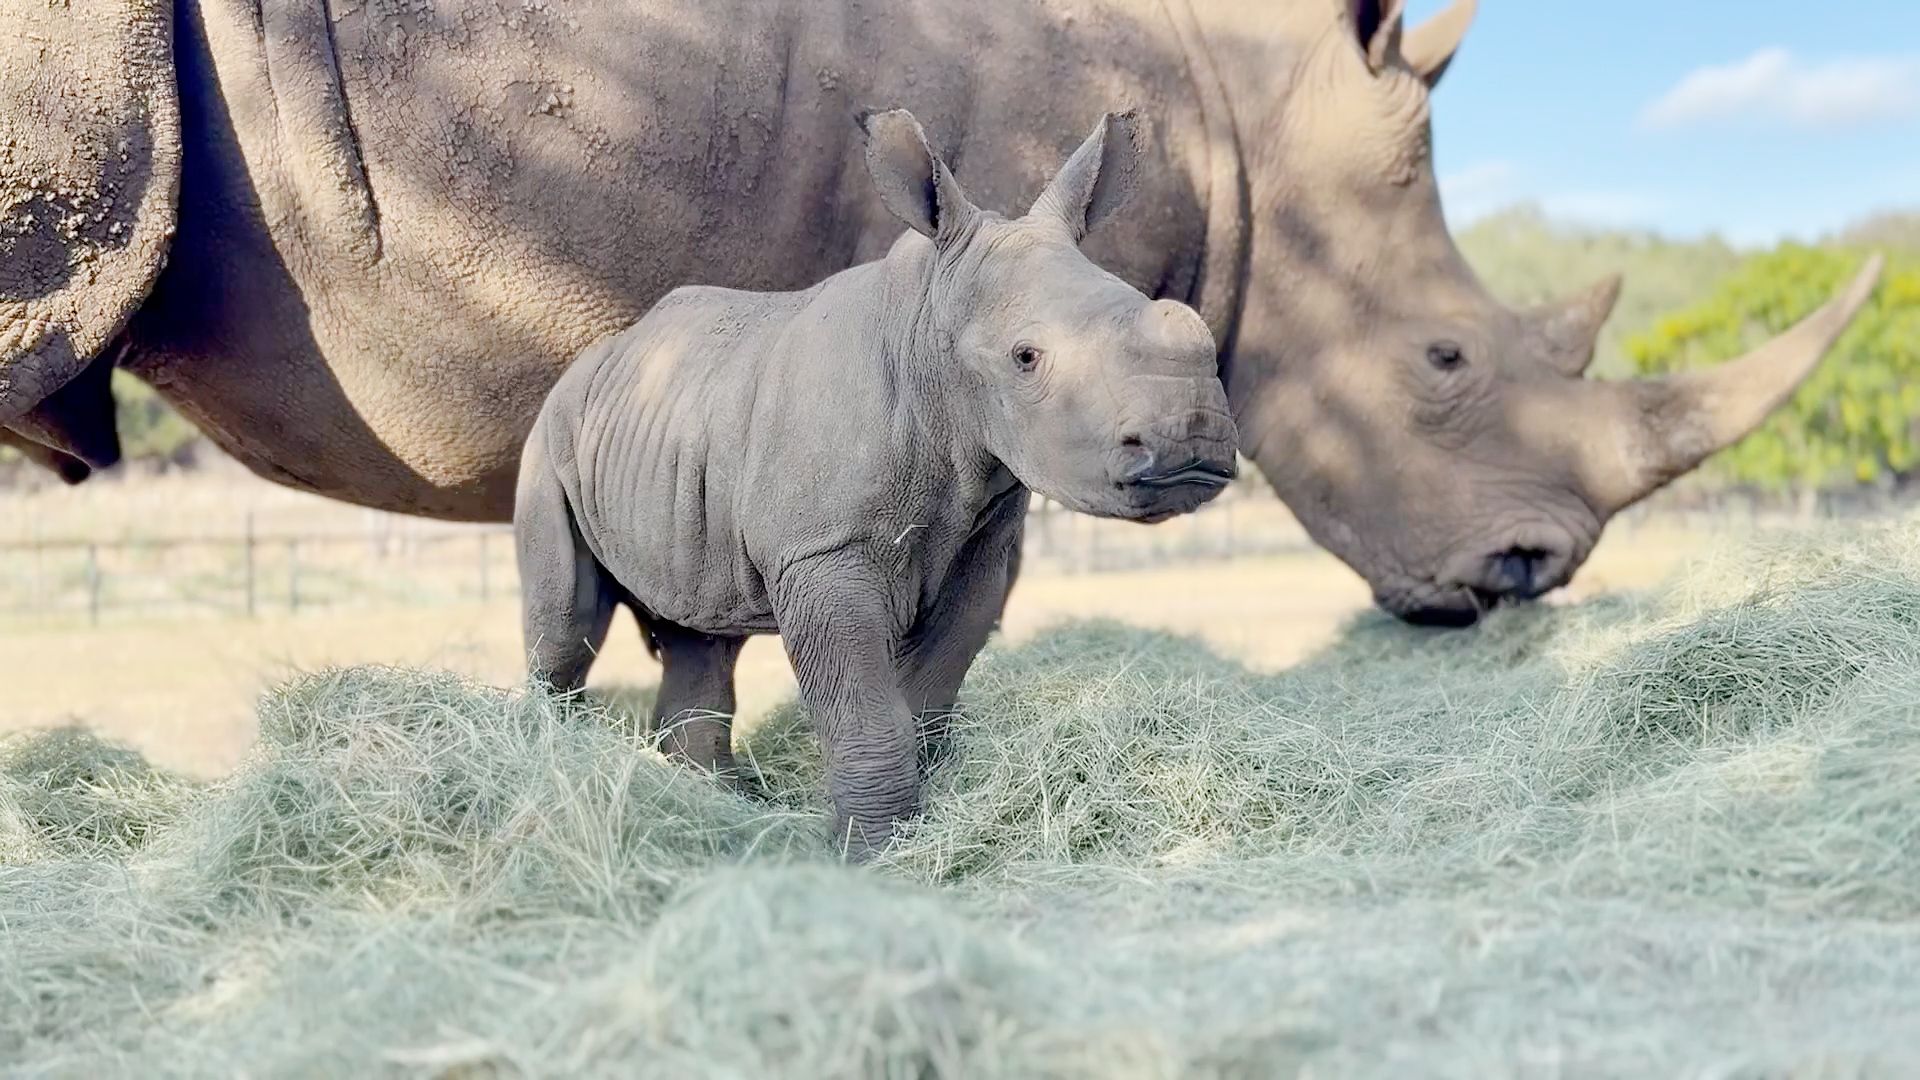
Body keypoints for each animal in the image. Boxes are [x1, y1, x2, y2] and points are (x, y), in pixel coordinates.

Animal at [519, 108, 1232, 851]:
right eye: (1026, 358)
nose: (1195, 442)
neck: (927, 334)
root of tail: (603, 354)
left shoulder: (980, 544)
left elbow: (929, 688)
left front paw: (907, 829)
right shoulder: (822, 550)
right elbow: (863, 707)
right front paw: (868, 849)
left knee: (698, 624)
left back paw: (720, 802)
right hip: (552, 428)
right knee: (566, 619)